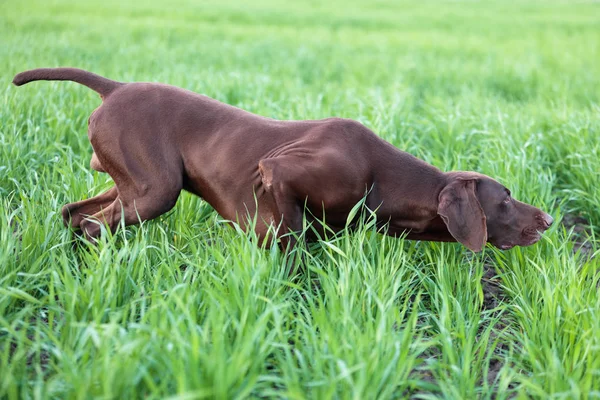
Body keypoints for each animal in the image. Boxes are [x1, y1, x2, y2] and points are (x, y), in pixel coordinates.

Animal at [11, 68, 552, 250]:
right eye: (506, 199)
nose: (549, 219)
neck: (381, 176)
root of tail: (115, 87)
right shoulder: (277, 174)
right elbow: (287, 236)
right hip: (154, 191)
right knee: (93, 226)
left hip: (129, 184)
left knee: (73, 214)